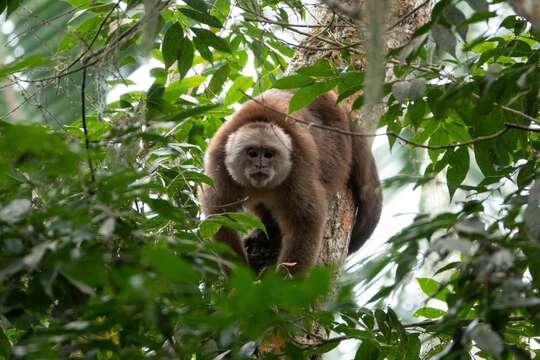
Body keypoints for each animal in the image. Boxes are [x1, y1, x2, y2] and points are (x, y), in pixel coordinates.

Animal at [200, 89, 382, 272]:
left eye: (268, 154)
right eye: (252, 153)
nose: (260, 165)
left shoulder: (297, 167)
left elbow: (305, 225)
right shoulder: (219, 166)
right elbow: (221, 222)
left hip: (339, 139)